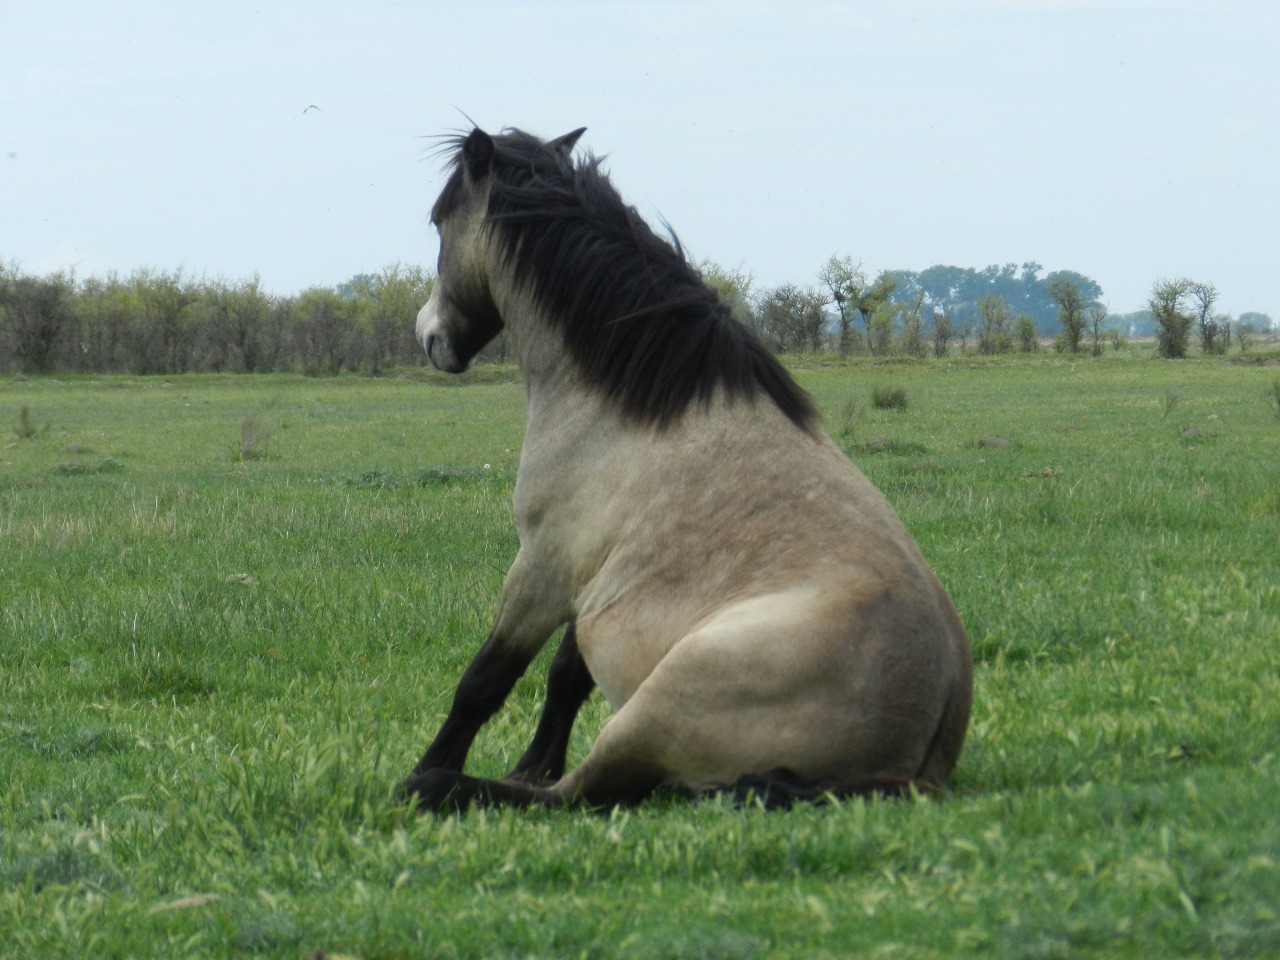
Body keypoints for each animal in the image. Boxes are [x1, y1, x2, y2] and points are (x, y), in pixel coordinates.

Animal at [401, 125, 972, 811]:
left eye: (439, 222)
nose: (429, 336)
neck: (626, 405)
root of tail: (924, 750)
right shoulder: (597, 576)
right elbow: (566, 677)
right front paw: (531, 763)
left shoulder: (543, 568)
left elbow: (485, 681)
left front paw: (428, 766)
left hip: (660, 702)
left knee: (579, 794)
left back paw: (437, 785)